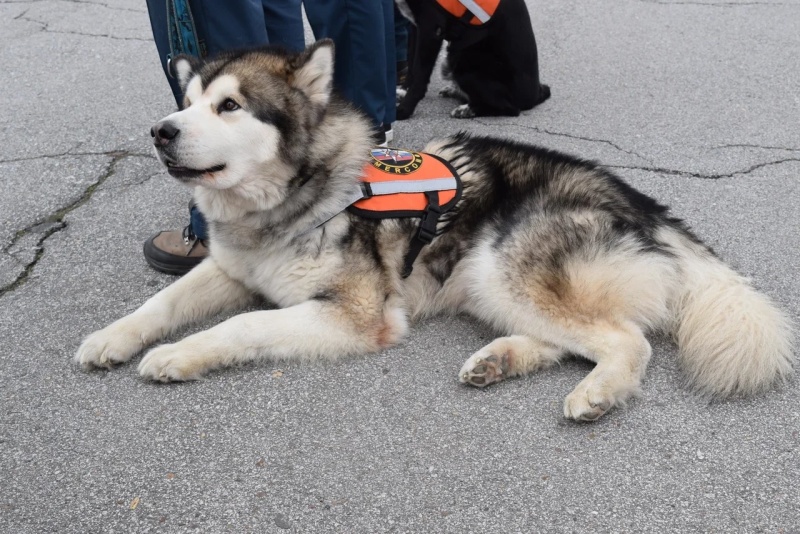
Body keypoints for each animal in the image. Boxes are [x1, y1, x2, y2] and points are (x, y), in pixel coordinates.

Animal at [76, 42, 792, 422]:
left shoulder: (358, 315)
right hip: (488, 282)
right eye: (188, 101)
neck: (297, 198)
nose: (161, 131)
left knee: (626, 340)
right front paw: (113, 338)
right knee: (577, 337)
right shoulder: (229, 268)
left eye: (229, 106)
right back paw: (499, 360)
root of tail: (645, 205)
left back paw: (597, 391)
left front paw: (177, 355)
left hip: (499, 263)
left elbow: (243, 325)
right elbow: (160, 301)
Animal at [398, 0, 552, 119]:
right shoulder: (415, 26)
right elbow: (411, 63)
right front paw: (403, 90)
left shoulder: (431, 29)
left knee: (511, 109)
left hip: (463, 62)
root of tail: (536, 94)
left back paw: (467, 110)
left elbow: (419, 74)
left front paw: (405, 109)